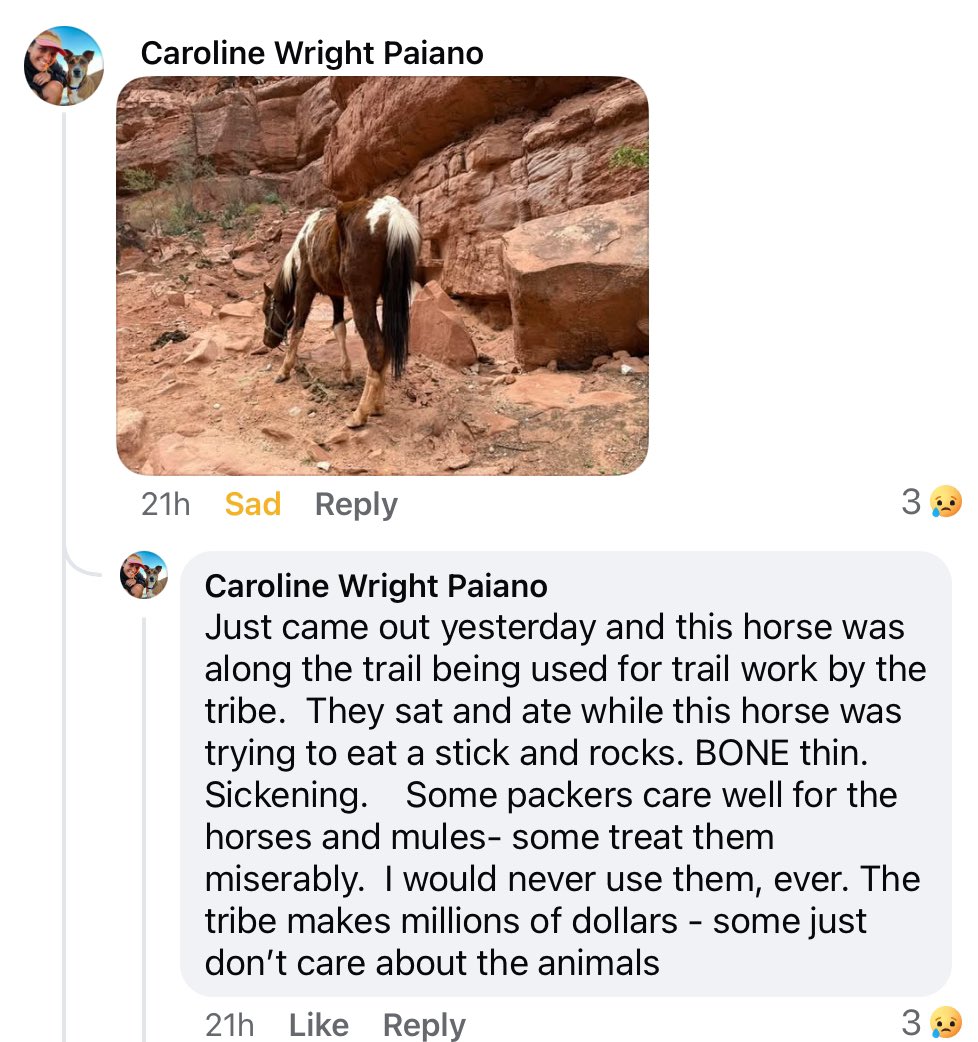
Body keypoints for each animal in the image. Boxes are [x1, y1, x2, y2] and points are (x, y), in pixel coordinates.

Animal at [262, 195, 420, 429]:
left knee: (376, 346)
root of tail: (394, 217)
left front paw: (284, 370)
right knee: (387, 345)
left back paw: (359, 414)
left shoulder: (305, 287)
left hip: (361, 298)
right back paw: (377, 405)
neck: (304, 243)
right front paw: (346, 374)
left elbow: (298, 327)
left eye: (266, 310)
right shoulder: (336, 294)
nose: (267, 341)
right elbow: (339, 329)